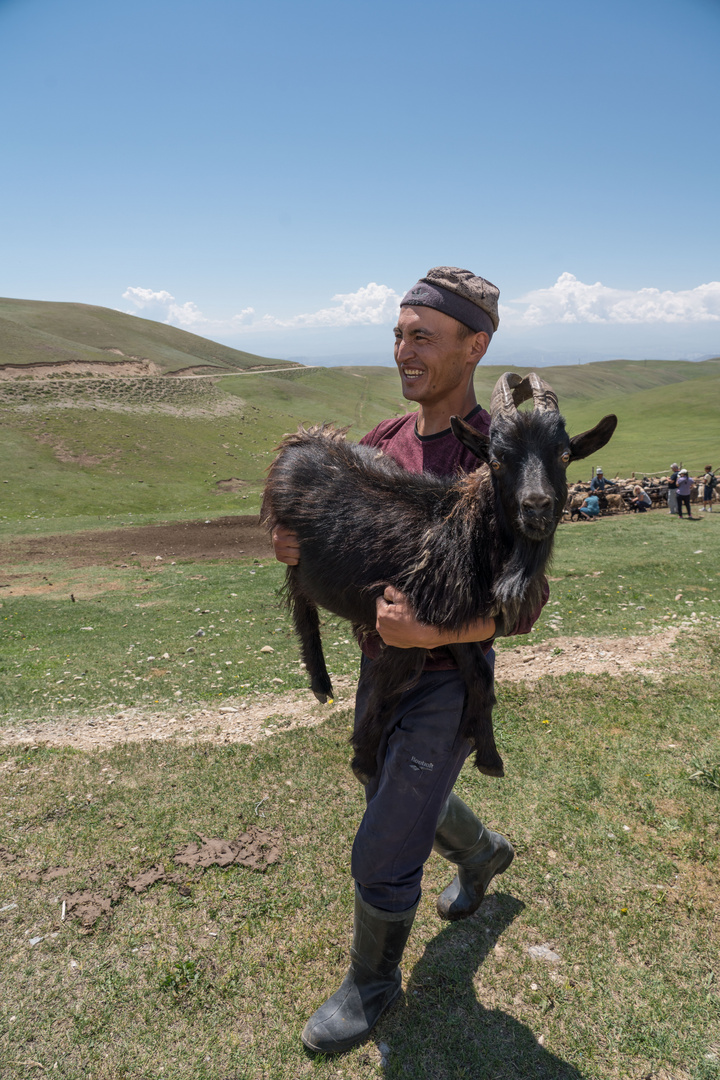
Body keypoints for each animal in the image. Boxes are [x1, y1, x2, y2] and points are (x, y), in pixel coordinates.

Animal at [262, 375, 617, 781]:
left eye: (564, 455)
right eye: (496, 460)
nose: (536, 507)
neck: (468, 531)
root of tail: (301, 440)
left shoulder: (454, 622)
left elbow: (480, 676)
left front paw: (487, 756)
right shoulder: (403, 624)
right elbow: (387, 692)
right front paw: (364, 762)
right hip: (294, 556)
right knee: (302, 606)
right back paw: (321, 683)